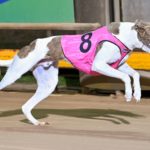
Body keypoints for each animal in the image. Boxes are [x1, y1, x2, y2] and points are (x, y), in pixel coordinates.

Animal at [0, 20, 150, 125]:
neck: (125, 36)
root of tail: (28, 46)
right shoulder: (99, 65)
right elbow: (125, 77)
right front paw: (128, 94)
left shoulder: (119, 65)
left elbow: (135, 74)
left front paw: (137, 94)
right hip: (15, 73)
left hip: (48, 85)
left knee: (26, 106)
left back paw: (37, 122)